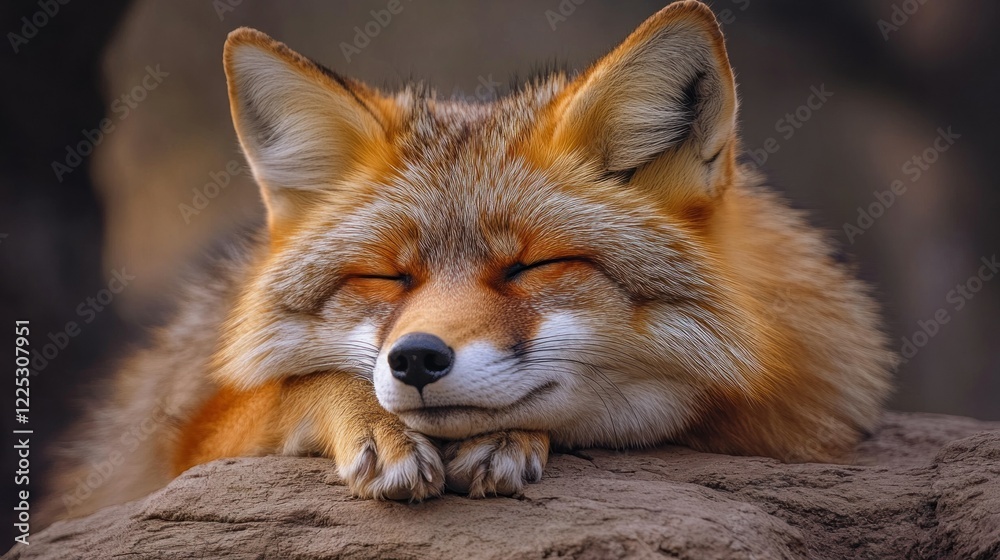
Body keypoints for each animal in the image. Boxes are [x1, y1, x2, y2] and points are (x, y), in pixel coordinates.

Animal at [41, 0, 894, 525]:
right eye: (385, 277)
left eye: (530, 268)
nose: (416, 359)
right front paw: (376, 425)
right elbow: (297, 385)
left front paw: (510, 439)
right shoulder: (185, 442)